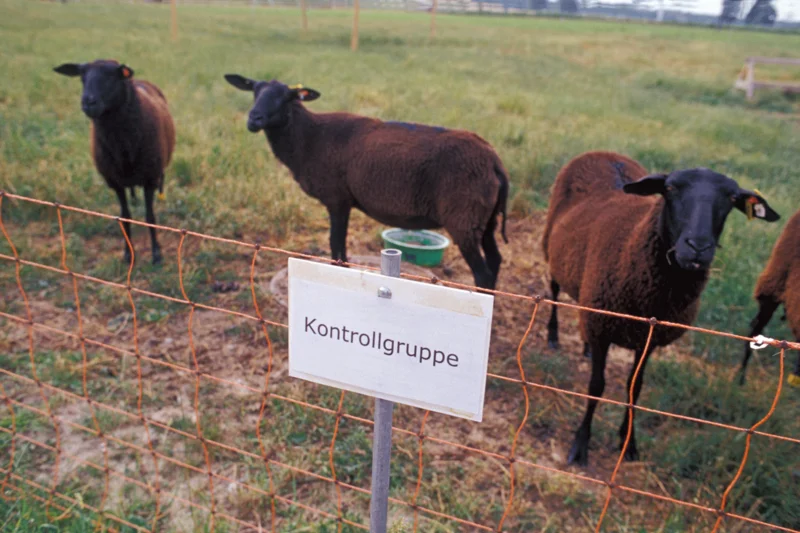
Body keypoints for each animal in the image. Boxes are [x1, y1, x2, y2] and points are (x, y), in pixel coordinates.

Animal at [54, 59, 176, 265]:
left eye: (112, 76)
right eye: (82, 78)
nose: (88, 102)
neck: (122, 146)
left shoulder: (150, 179)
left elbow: (150, 216)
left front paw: (156, 253)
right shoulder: (114, 182)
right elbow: (124, 217)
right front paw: (128, 253)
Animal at [223, 76, 509, 290]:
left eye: (287, 97)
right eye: (254, 91)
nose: (254, 119)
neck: (309, 137)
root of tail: (494, 160)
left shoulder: (337, 199)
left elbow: (337, 247)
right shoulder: (343, 201)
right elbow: (339, 248)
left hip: (464, 217)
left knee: (483, 273)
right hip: (485, 220)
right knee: (495, 261)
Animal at [542, 151, 779, 466]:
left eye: (731, 198)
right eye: (670, 188)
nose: (697, 247)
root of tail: (604, 154)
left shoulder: (649, 339)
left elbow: (635, 387)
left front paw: (628, 442)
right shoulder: (603, 326)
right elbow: (596, 386)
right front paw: (580, 445)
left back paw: (585, 347)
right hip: (552, 250)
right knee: (555, 290)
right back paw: (553, 335)